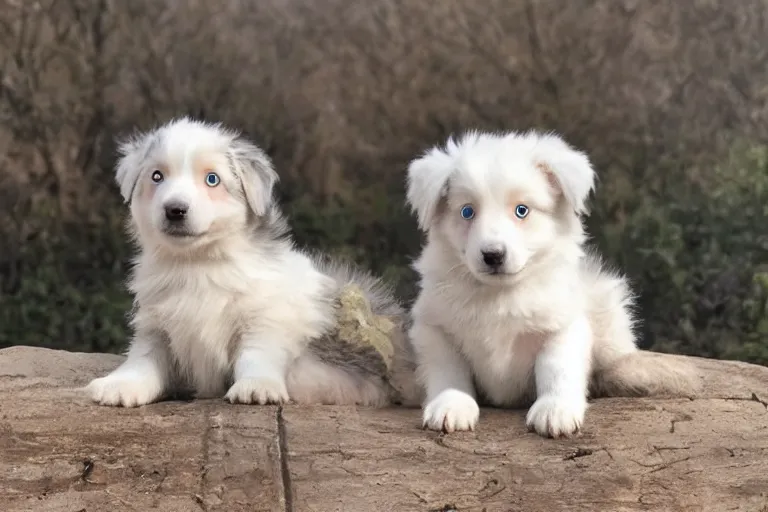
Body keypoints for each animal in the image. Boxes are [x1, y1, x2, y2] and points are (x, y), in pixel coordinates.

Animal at [87, 118, 416, 410]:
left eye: (212, 179)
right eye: (157, 176)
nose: (175, 210)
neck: (198, 264)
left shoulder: (263, 320)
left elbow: (256, 355)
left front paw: (257, 387)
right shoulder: (157, 327)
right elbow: (142, 360)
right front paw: (120, 385)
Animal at [404, 131, 700, 436]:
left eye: (522, 211)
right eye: (467, 212)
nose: (493, 256)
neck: (500, 294)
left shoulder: (562, 326)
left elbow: (557, 368)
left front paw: (555, 409)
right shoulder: (435, 328)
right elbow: (448, 369)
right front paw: (451, 404)